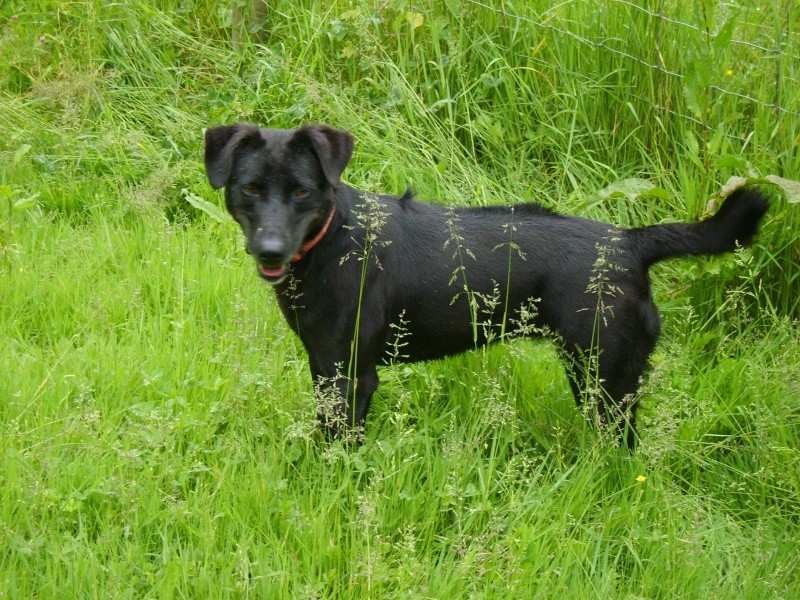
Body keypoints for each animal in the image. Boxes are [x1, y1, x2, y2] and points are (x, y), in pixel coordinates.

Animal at [206, 124, 768, 448]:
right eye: (250, 188)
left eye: (302, 191)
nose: (270, 250)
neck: (331, 237)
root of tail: (629, 243)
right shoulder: (324, 365)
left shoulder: (350, 377)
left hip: (605, 377)